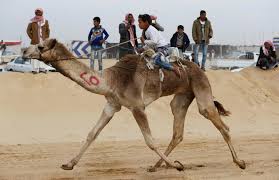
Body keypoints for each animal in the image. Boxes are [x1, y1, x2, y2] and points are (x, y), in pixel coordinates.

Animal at [22, 39, 247, 172]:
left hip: (201, 88)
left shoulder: (137, 106)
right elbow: (92, 133)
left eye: (41, 46)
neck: (112, 80)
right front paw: (69, 164)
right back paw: (156, 166)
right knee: (178, 131)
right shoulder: (112, 105)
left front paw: (177, 167)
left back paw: (240, 162)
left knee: (219, 123)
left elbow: (150, 140)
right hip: (183, 96)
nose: (24, 50)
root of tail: (200, 68)